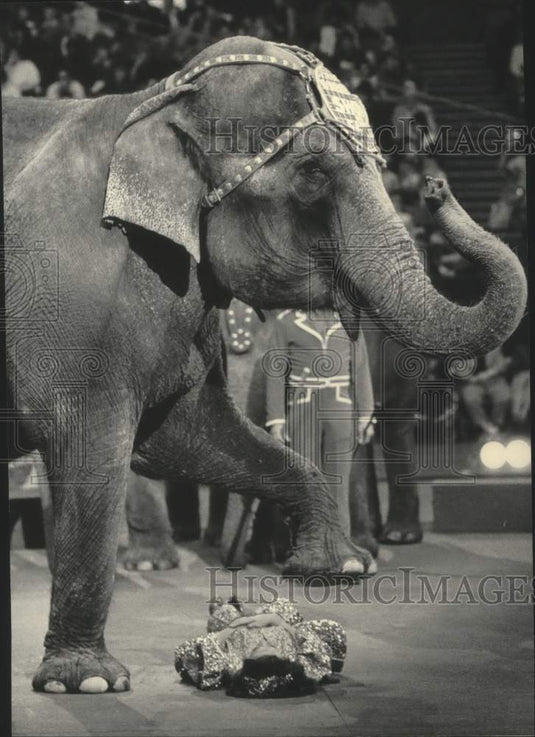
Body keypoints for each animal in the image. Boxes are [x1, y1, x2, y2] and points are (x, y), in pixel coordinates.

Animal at [4, 36, 527, 697]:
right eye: (312, 176)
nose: (435, 186)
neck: (158, 94)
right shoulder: (71, 294)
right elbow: (91, 445)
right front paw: (86, 682)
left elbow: (181, 433)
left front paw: (333, 567)